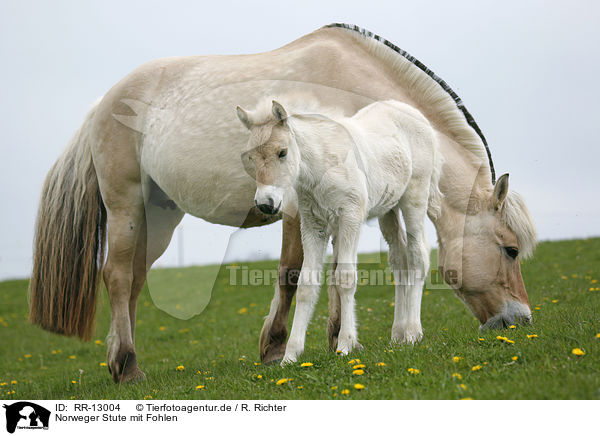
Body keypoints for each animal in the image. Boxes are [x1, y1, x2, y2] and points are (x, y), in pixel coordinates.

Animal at [237, 99, 442, 364]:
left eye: (282, 152)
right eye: (251, 157)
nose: (265, 203)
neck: (319, 167)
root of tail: (414, 113)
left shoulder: (350, 217)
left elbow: (345, 278)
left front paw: (345, 345)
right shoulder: (313, 226)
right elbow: (306, 284)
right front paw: (291, 355)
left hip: (414, 197)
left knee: (418, 255)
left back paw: (413, 333)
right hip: (388, 208)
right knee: (399, 260)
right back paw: (397, 335)